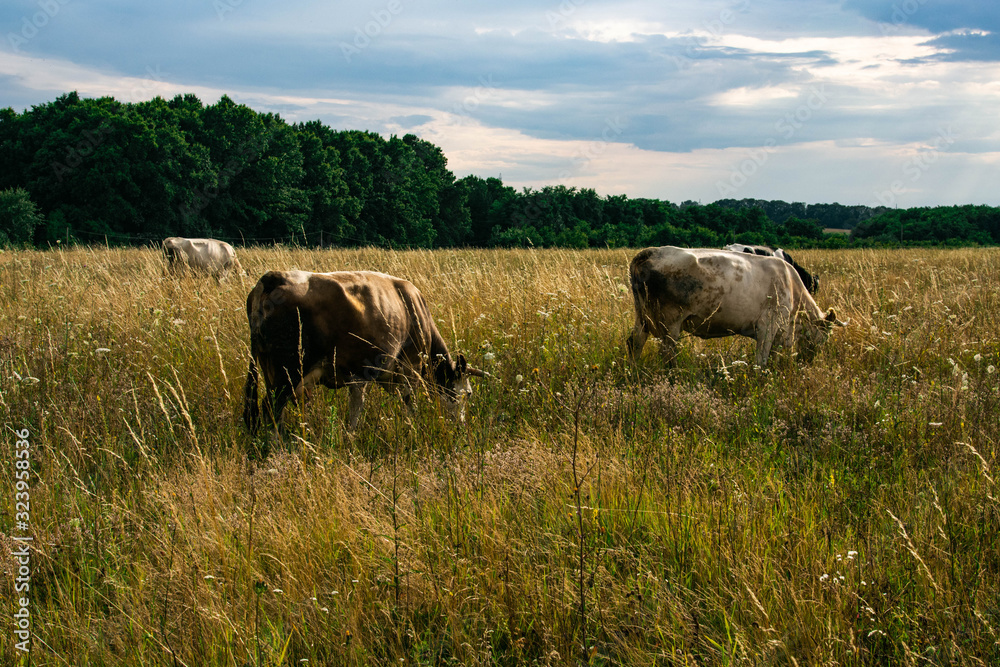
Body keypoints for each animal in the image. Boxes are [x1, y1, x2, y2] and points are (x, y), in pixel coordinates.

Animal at [242, 268, 484, 436]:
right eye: (469, 393)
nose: (462, 425)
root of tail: (272, 277)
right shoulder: (410, 366)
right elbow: (410, 403)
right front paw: (413, 428)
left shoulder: (370, 374)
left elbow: (357, 407)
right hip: (288, 371)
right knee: (270, 409)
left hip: (269, 370)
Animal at [624, 247, 844, 368]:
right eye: (826, 336)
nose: (810, 360)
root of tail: (650, 252)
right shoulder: (768, 326)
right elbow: (761, 360)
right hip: (670, 322)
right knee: (667, 352)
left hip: (642, 317)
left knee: (635, 342)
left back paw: (633, 370)